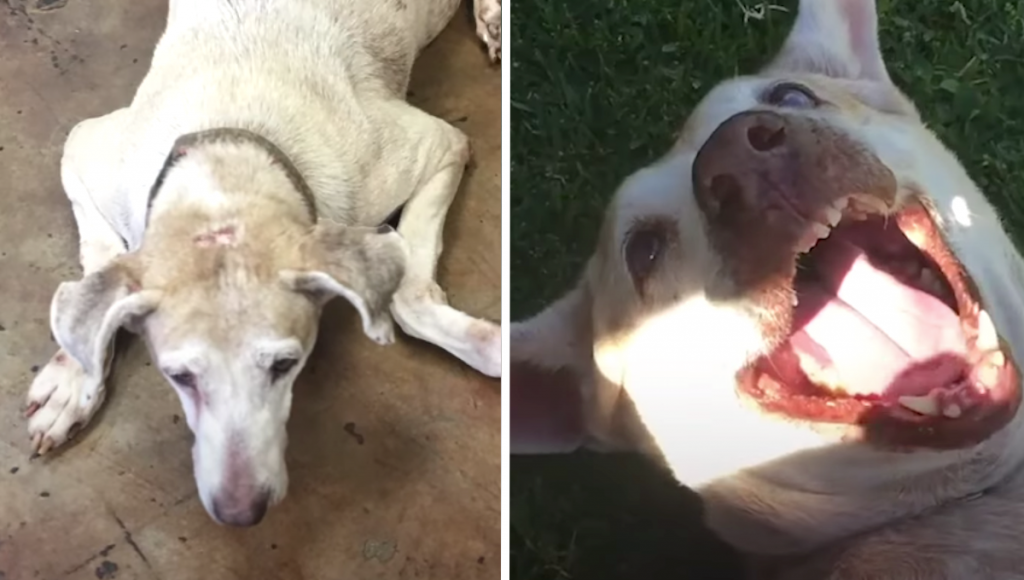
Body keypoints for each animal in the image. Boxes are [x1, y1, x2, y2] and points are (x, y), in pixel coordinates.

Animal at [22, 0, 501, 528]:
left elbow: (410, 299)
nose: (240, 513)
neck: (229, 161)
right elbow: (101, 262)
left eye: (285, 365)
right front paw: (72, 381)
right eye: (179, 376)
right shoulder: (84, 149)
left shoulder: (440, 146)